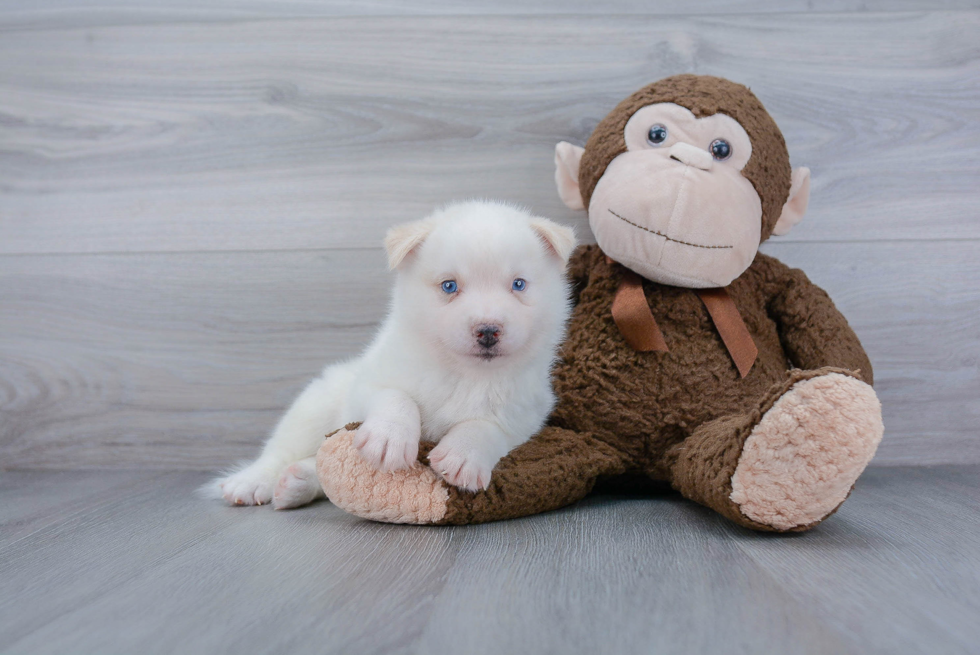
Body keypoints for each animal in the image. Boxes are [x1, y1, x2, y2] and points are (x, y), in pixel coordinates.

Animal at [207, 202, 576, 510]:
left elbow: (487, 427)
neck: (462, 374)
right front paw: (389, 437)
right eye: (449, 286)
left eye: (518, 284)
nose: (488, 330)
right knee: (280, 450)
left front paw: (464, 454)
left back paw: (296, 483)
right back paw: (252, 483)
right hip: (315, 405)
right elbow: (395, 397)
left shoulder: (524, 415)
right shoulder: (369, 383)